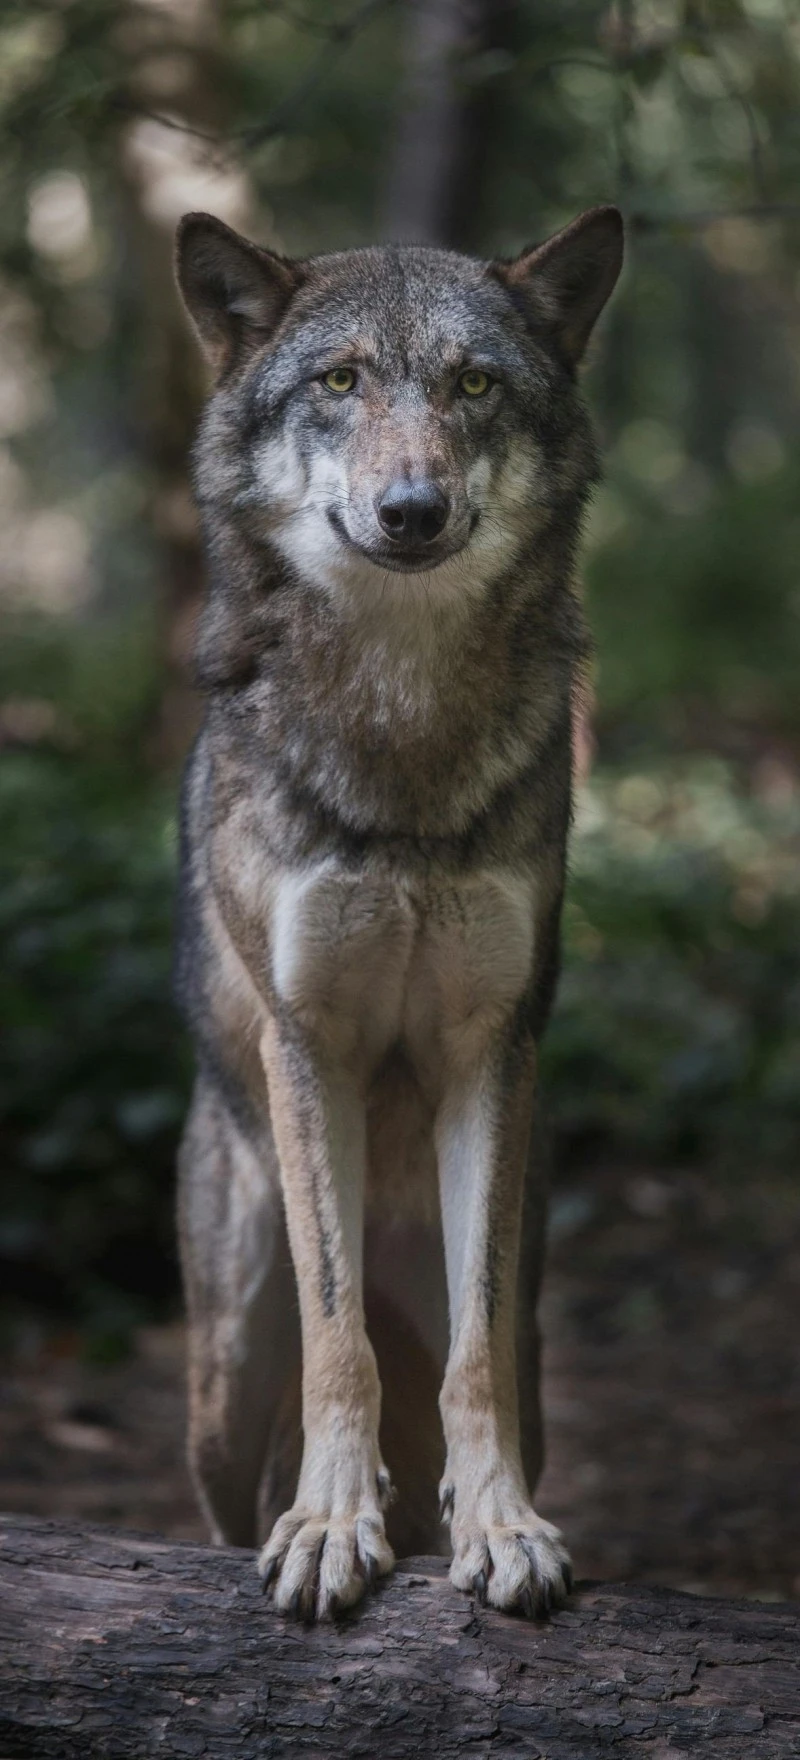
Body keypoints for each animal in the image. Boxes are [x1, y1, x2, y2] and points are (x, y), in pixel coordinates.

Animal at [173, 203, 622, 1623]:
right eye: (339, 380)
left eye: (472, 384)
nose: (410, 509)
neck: (403, 725)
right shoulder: (305, 1037)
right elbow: (341, 1339)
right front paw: (328, 1528)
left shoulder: (491, 1049)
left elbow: (469, 1362)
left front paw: (504, 1529)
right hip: (224, 1365)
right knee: (237, 1471)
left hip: (523, 1311)